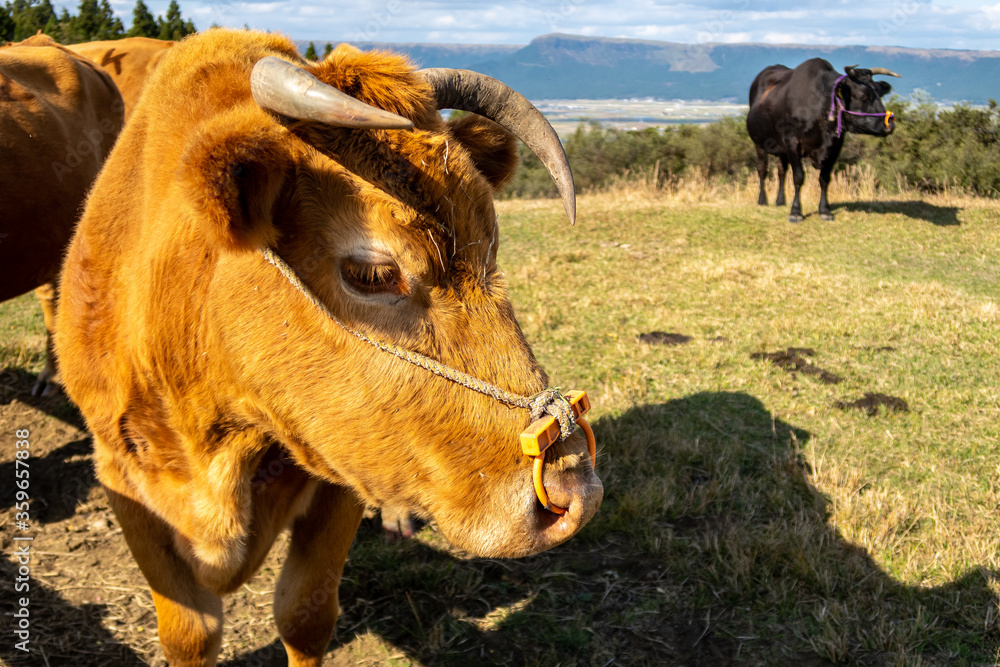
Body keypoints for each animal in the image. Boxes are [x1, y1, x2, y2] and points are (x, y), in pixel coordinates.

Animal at [56, 28, 600, 664]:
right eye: (371, 273)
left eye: (493, 246)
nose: (576, 490)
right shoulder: (120, 477)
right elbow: (190, 631)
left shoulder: (343, 475)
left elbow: (306, 613)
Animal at [748, 58, 904, 223]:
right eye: (863, 95)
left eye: (880, 94)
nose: (890, 125)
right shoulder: (792, 142)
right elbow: (798, 177)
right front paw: (796, 212)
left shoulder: (835, 146)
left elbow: (824, 179)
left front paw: (824, 210)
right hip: (759, 143)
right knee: (762, 170)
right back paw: (762, 200)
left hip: (782, 150)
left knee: (781, 171)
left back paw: (780, 201)